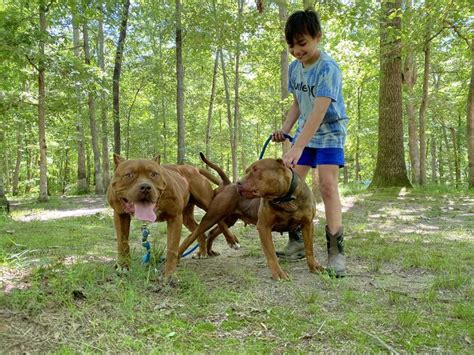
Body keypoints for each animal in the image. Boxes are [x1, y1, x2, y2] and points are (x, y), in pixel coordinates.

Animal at [105, 154, 235, 276]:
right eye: (129, 175)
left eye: (154, 174)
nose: (145, 187)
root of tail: (193, 168)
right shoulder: (120, 215)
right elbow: (122, 243)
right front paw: (123, 267)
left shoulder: (174, 217)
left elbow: (172, 247)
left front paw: (170, 274)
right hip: (187, 217)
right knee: (198, 229)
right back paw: (202, 252)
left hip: (207, 203)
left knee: (219, 221)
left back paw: (232, 241)